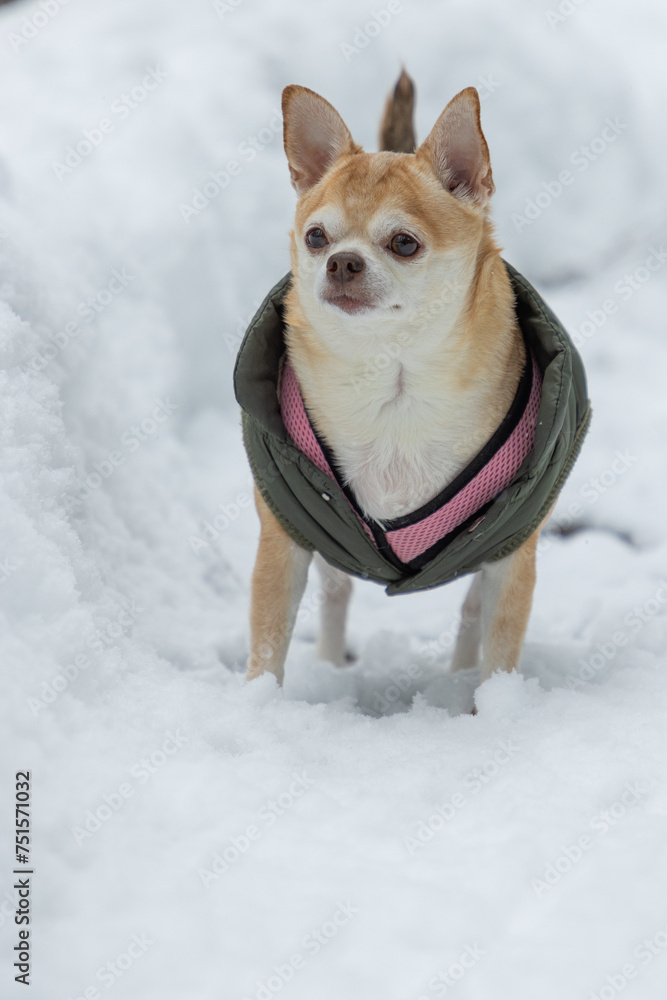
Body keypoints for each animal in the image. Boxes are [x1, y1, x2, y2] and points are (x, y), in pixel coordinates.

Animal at [243, 74, 556, 692]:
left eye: (404, 243)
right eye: (316, 237)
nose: (341, 261)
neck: (391, 378)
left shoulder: (511, 550)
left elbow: (499, 645)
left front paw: (494, 704)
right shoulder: (284, 537)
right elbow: (267, 642)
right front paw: (256, 700)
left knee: (471, 613)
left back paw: (459, 676)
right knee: (336, 591)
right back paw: (328, 663)